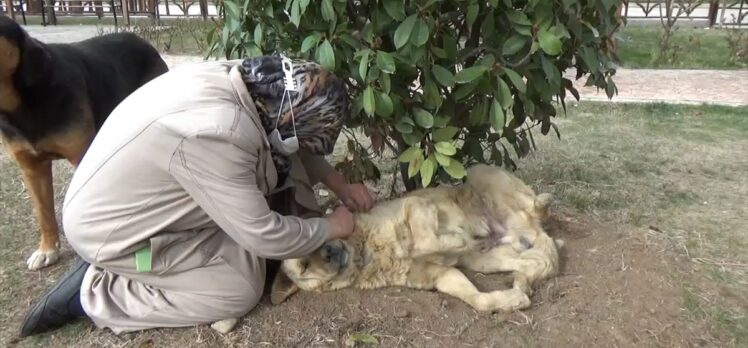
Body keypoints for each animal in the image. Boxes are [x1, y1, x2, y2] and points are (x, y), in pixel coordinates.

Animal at [0, 16, 168, 270]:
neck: (23, 103)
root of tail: (140, 40)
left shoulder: (82, 155)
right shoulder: (31, 167)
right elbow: (43, 214)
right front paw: (47, 250)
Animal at [272, 164, 564, 314]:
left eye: (319, 239)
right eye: (304, 267)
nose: (331, 253)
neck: (367, 254)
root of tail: (530, 226)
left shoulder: (415, 204)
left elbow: (423, 243)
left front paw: (453, 240)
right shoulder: (442, 275)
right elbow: (477, 299)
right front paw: (509, 301)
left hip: (478, 171)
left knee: (535, 205)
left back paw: (543, 201)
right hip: (486, 258)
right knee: (534, 263)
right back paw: (522, 283)